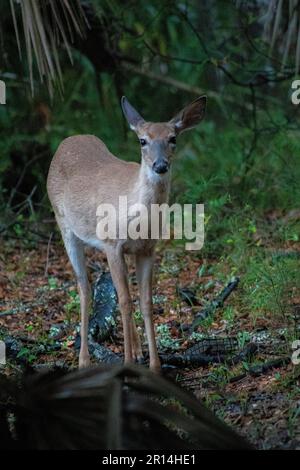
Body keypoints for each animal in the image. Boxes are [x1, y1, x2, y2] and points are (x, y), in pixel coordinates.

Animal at [47, 95, 206, 372]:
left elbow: (146, 302)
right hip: (65, 226)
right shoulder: (113, 244)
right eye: (142, 140)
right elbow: (123, 301)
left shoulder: (147, 249)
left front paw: (154, 365)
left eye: (173, 138)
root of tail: (68, 140)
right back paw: (84, 360)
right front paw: (127, 362)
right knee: (84, 287)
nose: (160, 165)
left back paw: (138, 351)